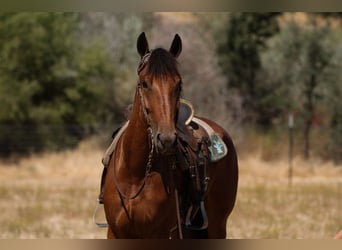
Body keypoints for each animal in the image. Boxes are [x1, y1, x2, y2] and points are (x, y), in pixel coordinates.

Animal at [101, 32, 238, 238]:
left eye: (178, 84)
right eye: (144, 83)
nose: (166, 140)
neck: (135, 174)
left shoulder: (160, 233)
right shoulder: (116, 232)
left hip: (217, 225)